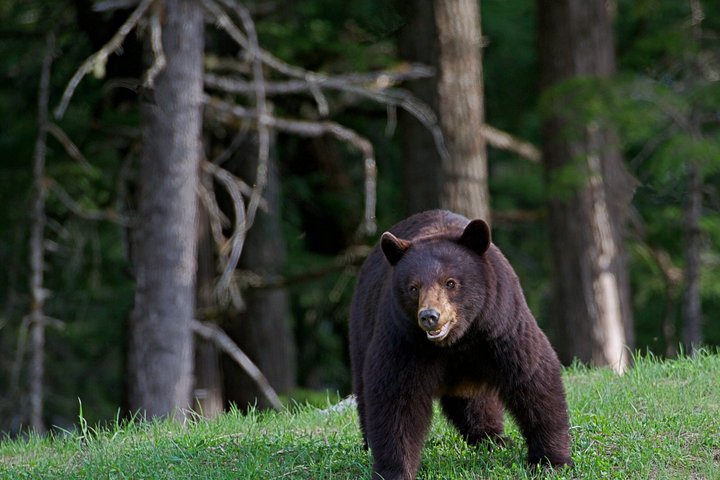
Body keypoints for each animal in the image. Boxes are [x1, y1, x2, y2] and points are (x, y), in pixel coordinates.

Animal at [349, 210, 571, 480]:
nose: (429, 316)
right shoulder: (404, 339)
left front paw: (550, 460)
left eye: (450, 282)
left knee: (475, 401)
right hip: (362, 328)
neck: (458, 340)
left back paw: (491, 437)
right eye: (413, 288)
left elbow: (532, 378)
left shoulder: (500, 326)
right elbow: (395, 398)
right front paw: (395, 470)